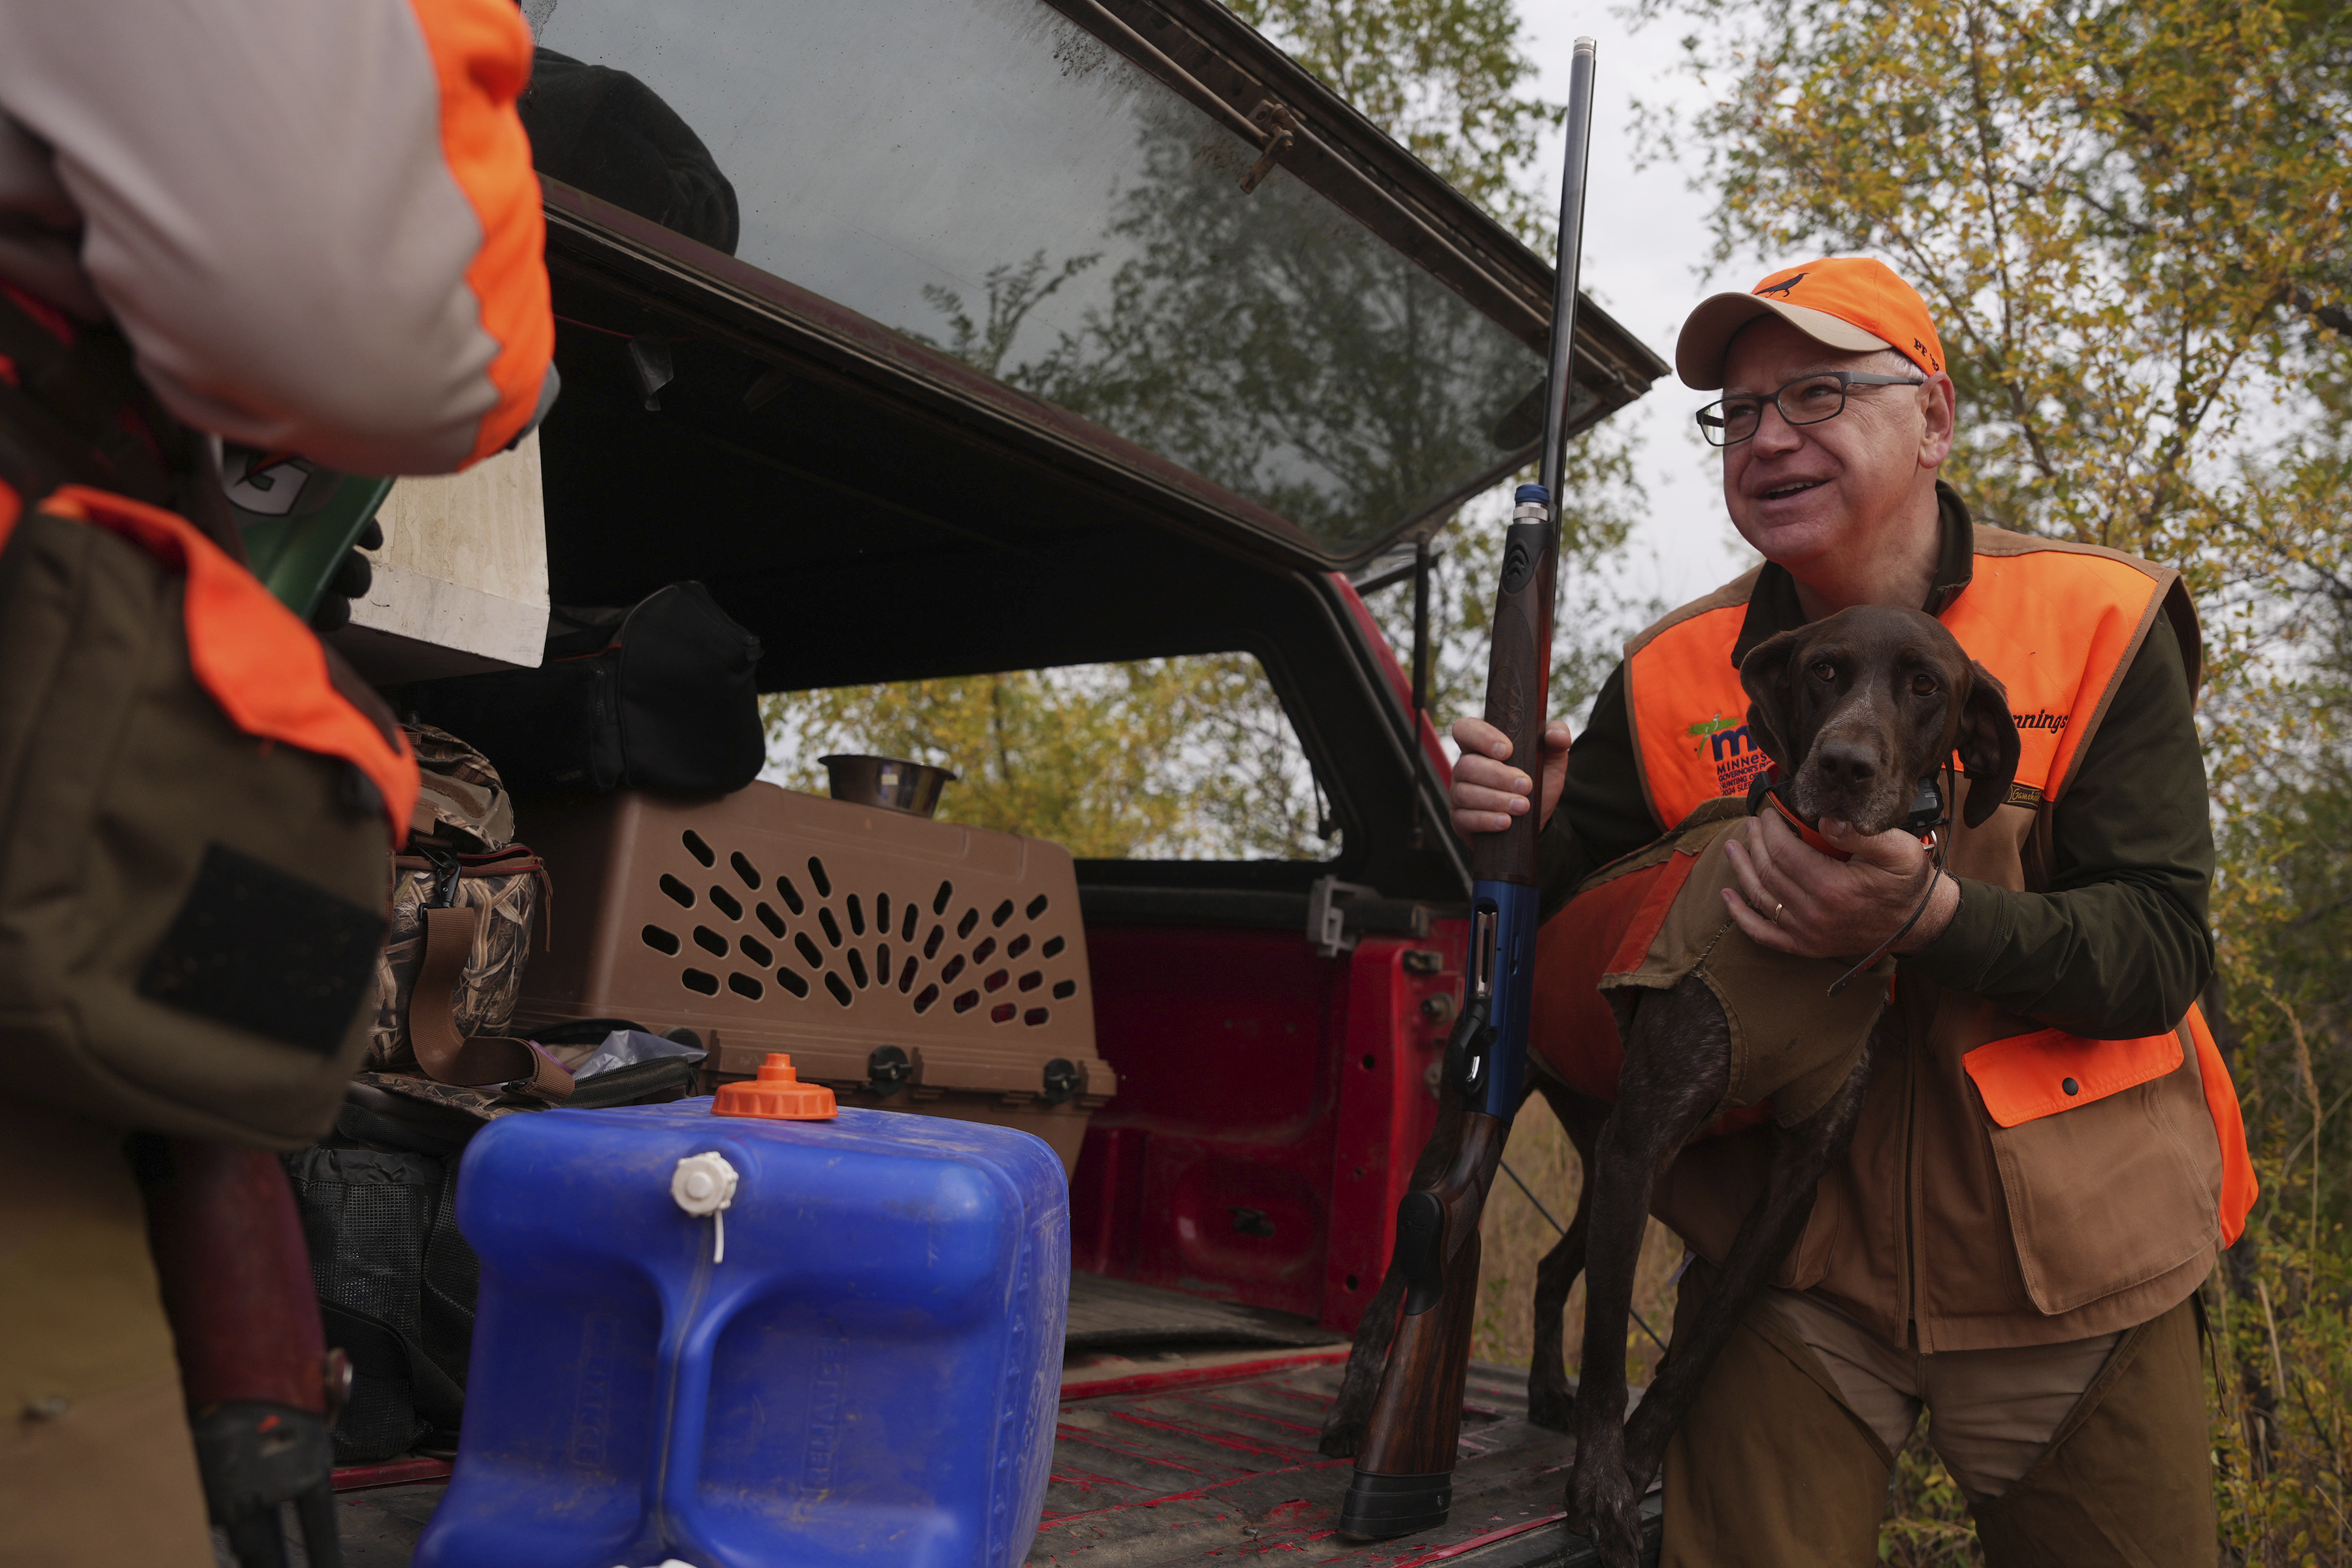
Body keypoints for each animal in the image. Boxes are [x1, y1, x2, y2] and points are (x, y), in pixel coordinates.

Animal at [1326, 611, 2023, 1568]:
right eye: (1824, 671)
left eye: (1926, 686)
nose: (1845, 765)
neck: (1799, 950)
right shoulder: (1645, 1143)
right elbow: (1609, 1348)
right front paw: (1601, 1489)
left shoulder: (1787, 1183)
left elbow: (1698, 1349)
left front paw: (1638, 1463)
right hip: (1514, 1141)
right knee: (1413, 1254)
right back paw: (1360, 1413)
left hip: (1605, 1160)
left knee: (1551, 1268)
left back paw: (1541, 1392)